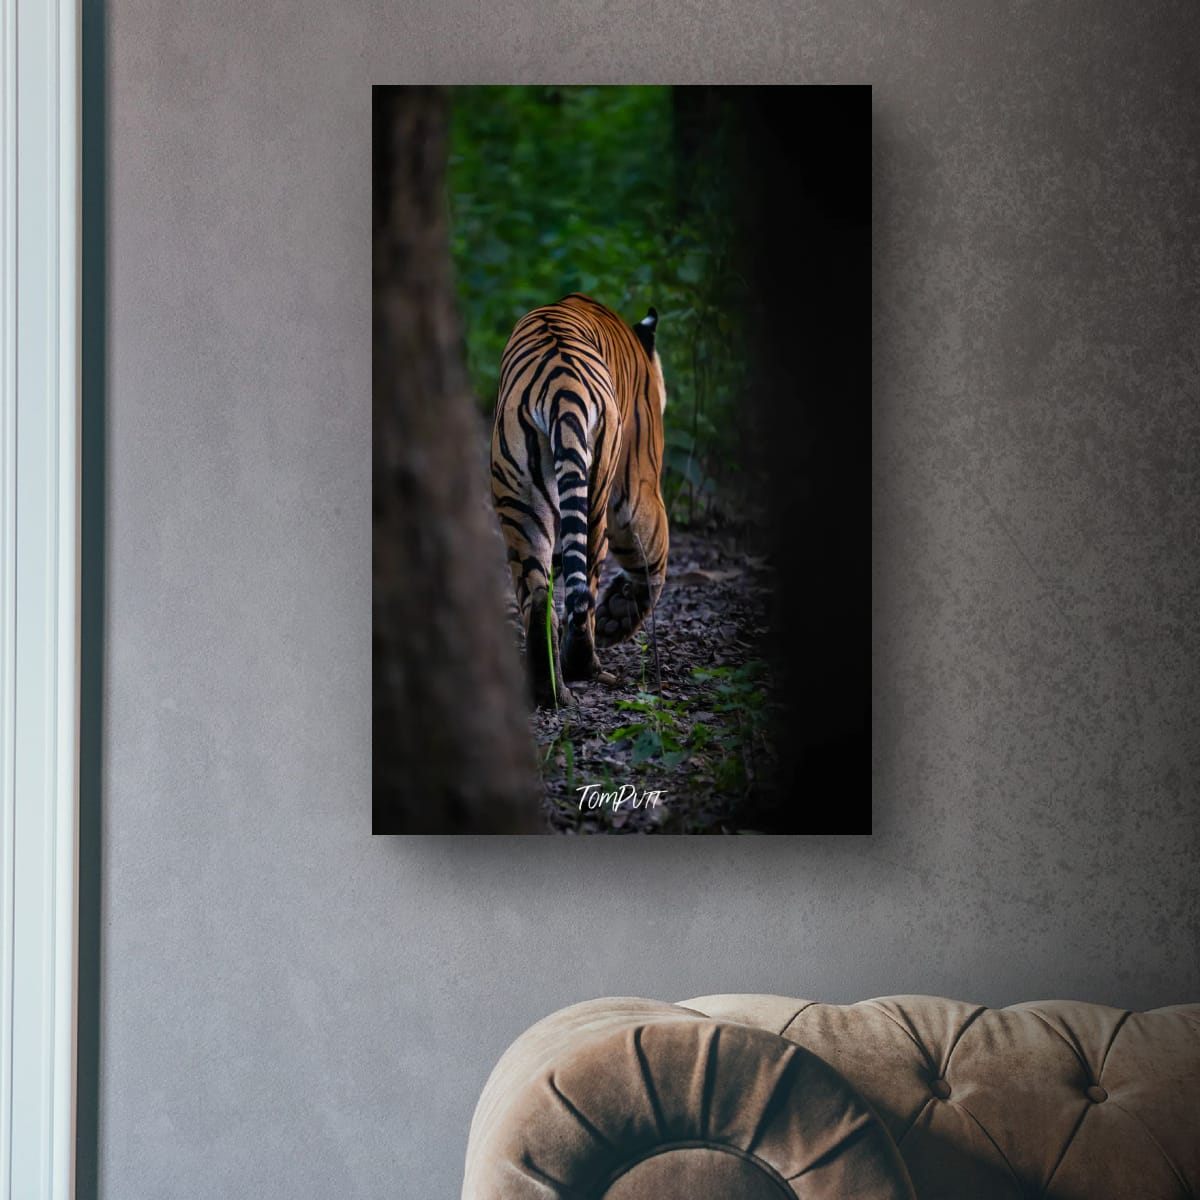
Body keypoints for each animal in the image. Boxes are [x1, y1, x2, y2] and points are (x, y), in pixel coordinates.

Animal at [490, 293, 669, 709]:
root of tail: (561, 389)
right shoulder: (639, 480)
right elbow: (654, 554)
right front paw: (617, 617)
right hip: (598, 500)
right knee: (584, 588)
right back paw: (583, 664)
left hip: (520, 502)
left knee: (540, 597)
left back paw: (547, 689)